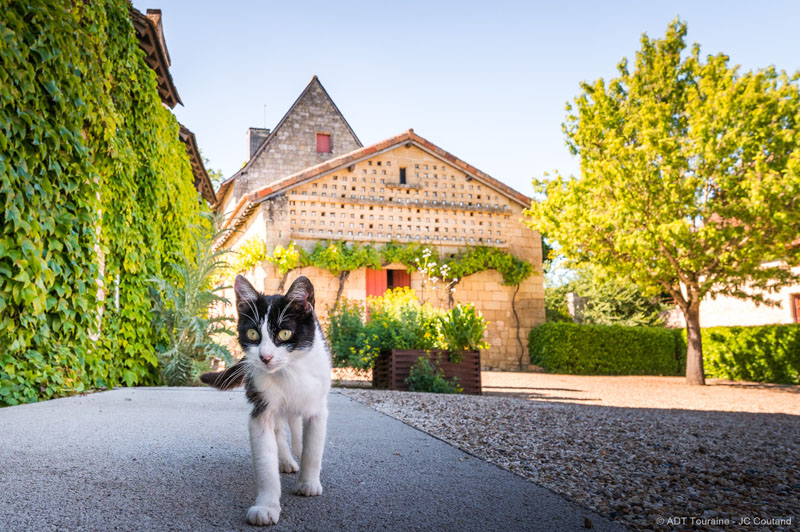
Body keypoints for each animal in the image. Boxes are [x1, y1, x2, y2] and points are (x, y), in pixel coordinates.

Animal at [200, 276, 332, 524]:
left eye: (285, 334)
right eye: (253, 334)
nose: (265, 357)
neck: (288, 372)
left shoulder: (318, 405)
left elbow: (313, 447)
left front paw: (308, 482)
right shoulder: (261, 404)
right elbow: (265, 459)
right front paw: (266, 506)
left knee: (295, 424)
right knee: (280, 427)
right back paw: (286, 460)